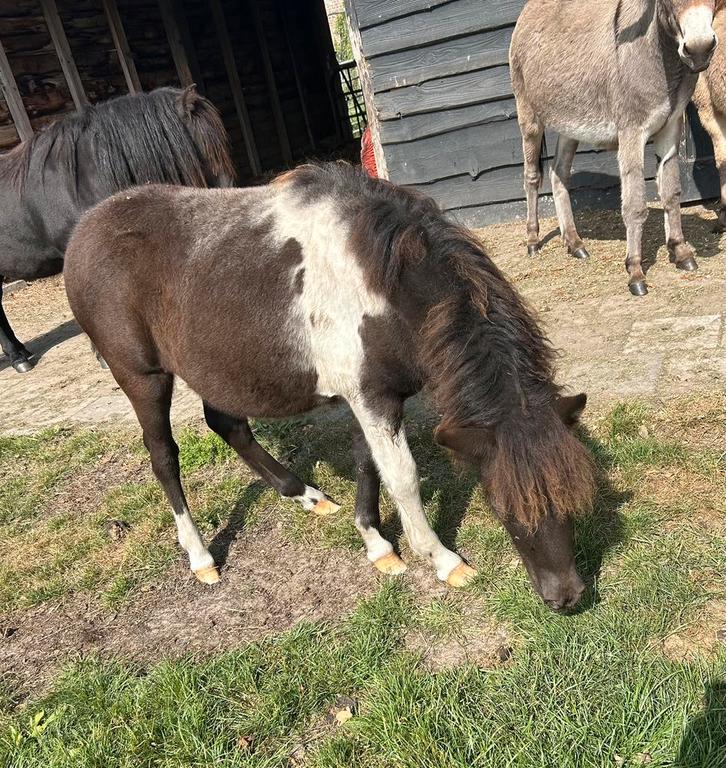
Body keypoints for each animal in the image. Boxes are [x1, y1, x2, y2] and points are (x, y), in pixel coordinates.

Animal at [64, 162, 596, 611]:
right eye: (504, 508)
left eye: (574, 496)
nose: (566, 597)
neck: (387, 287)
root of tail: (84, 229)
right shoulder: (372, 398)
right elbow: (402, 476)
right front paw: (442, 559)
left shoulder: (367, 395)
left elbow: (368, 464)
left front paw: (378, 545)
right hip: (143, 379)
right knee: (164, 457)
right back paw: (200, 558)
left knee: (226, 424)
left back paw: (307, 495)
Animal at [510, 0, 717, 296]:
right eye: (665, 1)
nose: (699, 49)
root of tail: (529, 9)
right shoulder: (631, 131)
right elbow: (635, 205)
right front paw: (635, 272)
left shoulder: (671, 127)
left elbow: (671, 192)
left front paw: (680, 252)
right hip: (529, 114)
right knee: (532, 177)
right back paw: (532, 240)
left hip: (570, 122)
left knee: (558, 173)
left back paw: (574, 243)